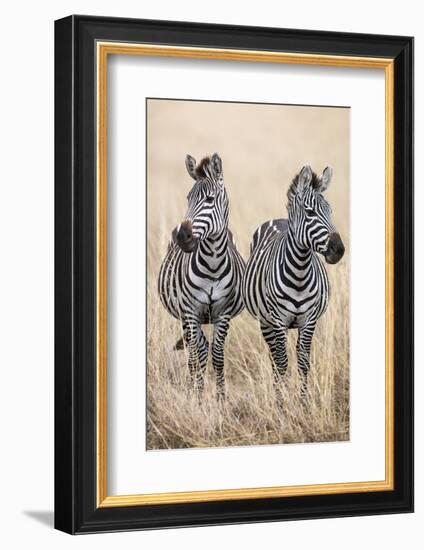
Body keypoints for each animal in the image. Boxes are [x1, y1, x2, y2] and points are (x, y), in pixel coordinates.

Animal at [158, 153, 245, 398]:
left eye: (210, 199)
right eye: (188, 198)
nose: (182, 236)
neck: (213, 265)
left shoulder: (223, 314)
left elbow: (217, 355)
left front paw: (221, 398)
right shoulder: (190, 312)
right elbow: (199, 353)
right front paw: (196, 396)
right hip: (184, 318)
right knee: (194, 351)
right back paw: (192, 389)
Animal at [242, 166, 344, 404]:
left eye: (331, 211)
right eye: (310, 212)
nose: (339, 250)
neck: (300, 271)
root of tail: (279, 219)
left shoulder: (309, 320)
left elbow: (303, 361)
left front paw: (304, 403)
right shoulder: (279, 320)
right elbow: (281, 364)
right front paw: (282, 405)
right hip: (266, 322)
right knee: (274, 356)